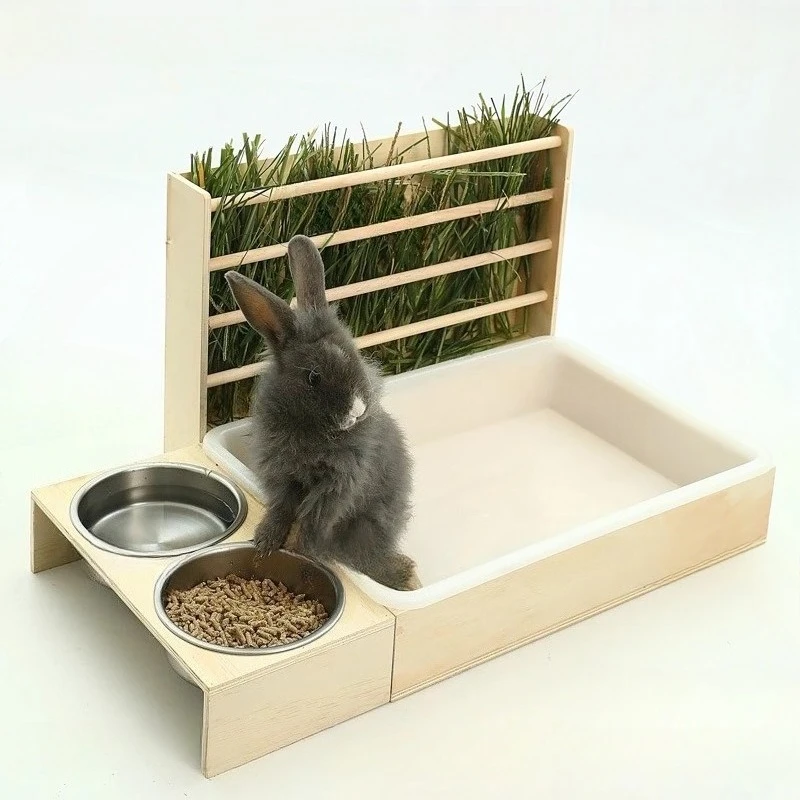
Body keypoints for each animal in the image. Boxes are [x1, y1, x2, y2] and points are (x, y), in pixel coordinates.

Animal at [224, 235, 421, 591]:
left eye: (355, 355)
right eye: (313, 377)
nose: (358, 409)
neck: (307, 426)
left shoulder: (336, 485)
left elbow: (312, 522)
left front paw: (299, 552)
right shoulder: (282, 476)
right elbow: (282, 509)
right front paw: (265, 542)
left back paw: (405, 576)